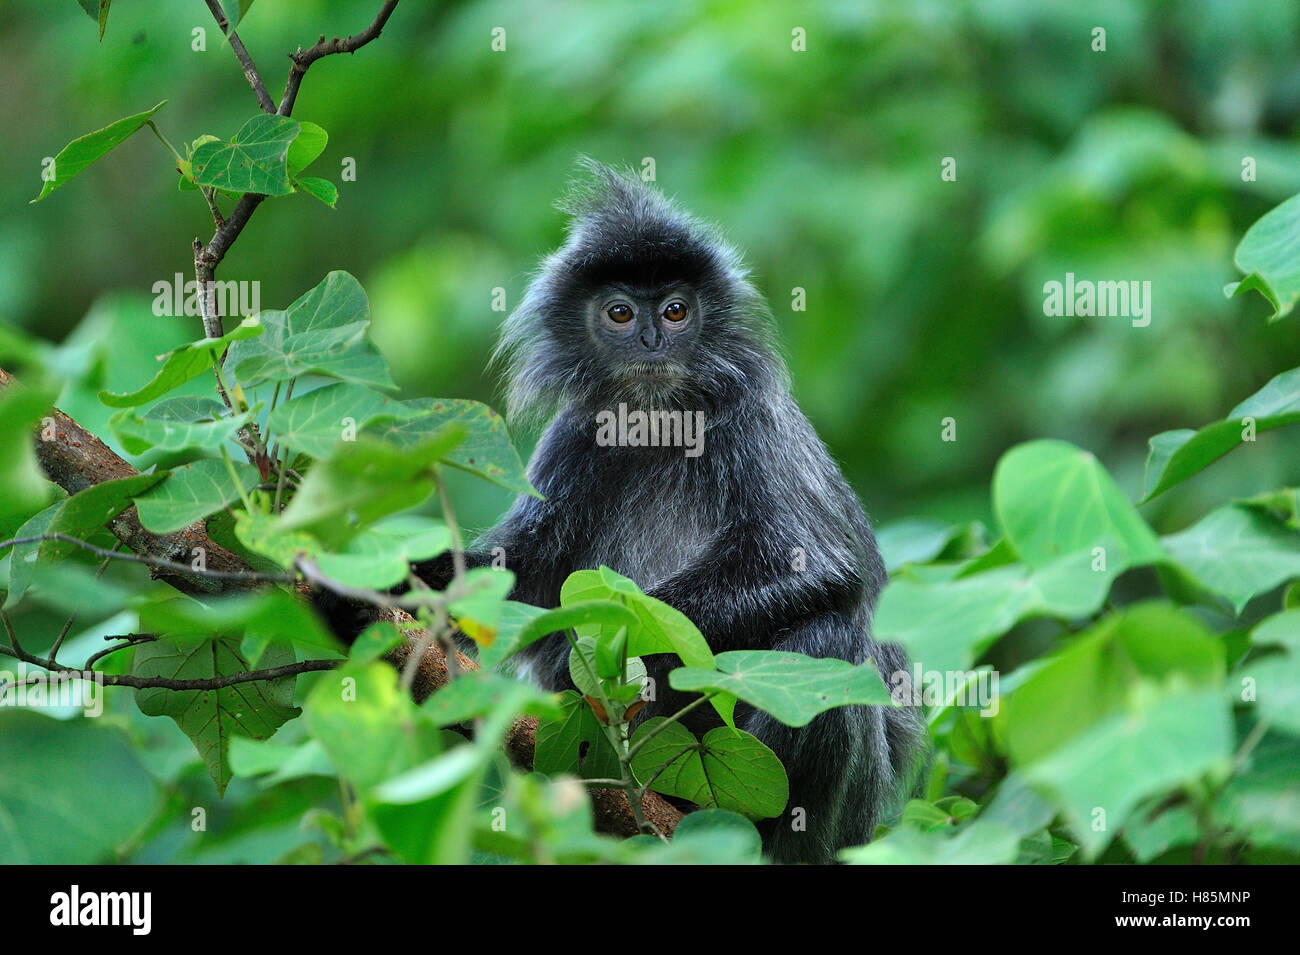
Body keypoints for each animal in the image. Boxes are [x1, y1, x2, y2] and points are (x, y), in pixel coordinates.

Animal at [319, 161, 924, 863]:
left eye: (675, 309)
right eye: (619, 312)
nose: (651, 340)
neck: (657, 421)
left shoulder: (749, 416)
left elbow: (816, 567)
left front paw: (611, 638)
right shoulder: (576, 435)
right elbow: (515, 577)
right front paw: (371, 592)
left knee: (827, 636)